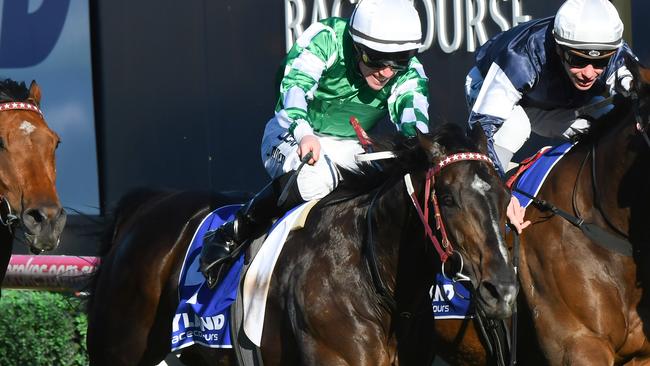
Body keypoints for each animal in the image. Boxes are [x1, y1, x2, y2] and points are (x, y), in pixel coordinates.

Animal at [86, 123, 512, 366]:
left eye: (506, 197)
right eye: (448, 198)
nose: (502, 291)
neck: (371, 278)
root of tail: (146, 204)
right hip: (119, 350)